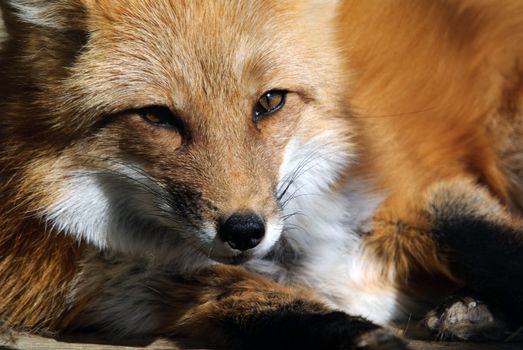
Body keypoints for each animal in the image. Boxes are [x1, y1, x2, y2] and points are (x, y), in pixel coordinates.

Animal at [1, 0, 523, 348]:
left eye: (270, 101)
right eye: (157, 117)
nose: (244, 230)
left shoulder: (407, 186)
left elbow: (486, 243)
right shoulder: (144, 294)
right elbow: (270, 308)